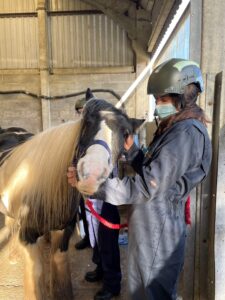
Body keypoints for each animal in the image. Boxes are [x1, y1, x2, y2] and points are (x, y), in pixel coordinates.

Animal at [0, 89, 144, 300]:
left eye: (125, 134)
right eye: (86, 121)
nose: (92, 174)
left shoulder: (62, 233)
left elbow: (59, 266)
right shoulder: (28, 239)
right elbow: (36, 274)